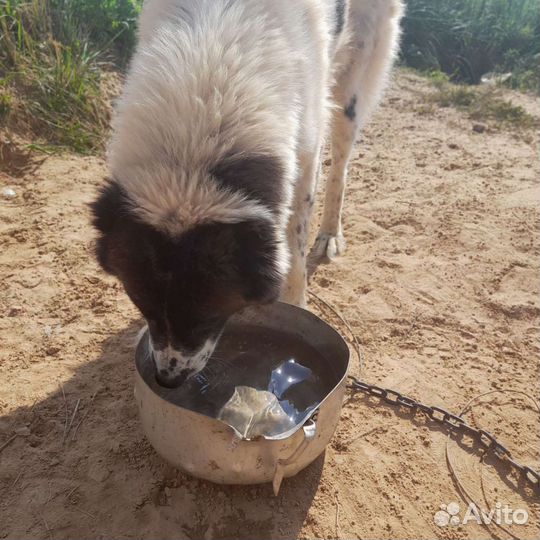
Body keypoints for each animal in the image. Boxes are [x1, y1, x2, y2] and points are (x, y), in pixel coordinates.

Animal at [93, 1, 402, 388]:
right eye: (141, 305)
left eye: (207, 315)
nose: (167, 380)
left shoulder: (305, 147)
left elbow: (295, 252)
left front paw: (296, 305)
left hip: (352, 84)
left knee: (341, 163)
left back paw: (330, 232)